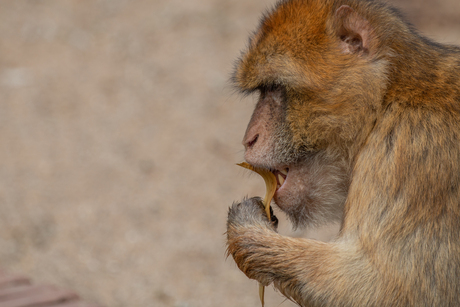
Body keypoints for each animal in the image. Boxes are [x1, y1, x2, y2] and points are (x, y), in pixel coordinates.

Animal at [226, 0, 460, 306]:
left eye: (275, 87)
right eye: (263, 90)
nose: (248, 139)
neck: (388, 97)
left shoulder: (413, 150)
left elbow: (388, 291)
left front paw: (247, 228)